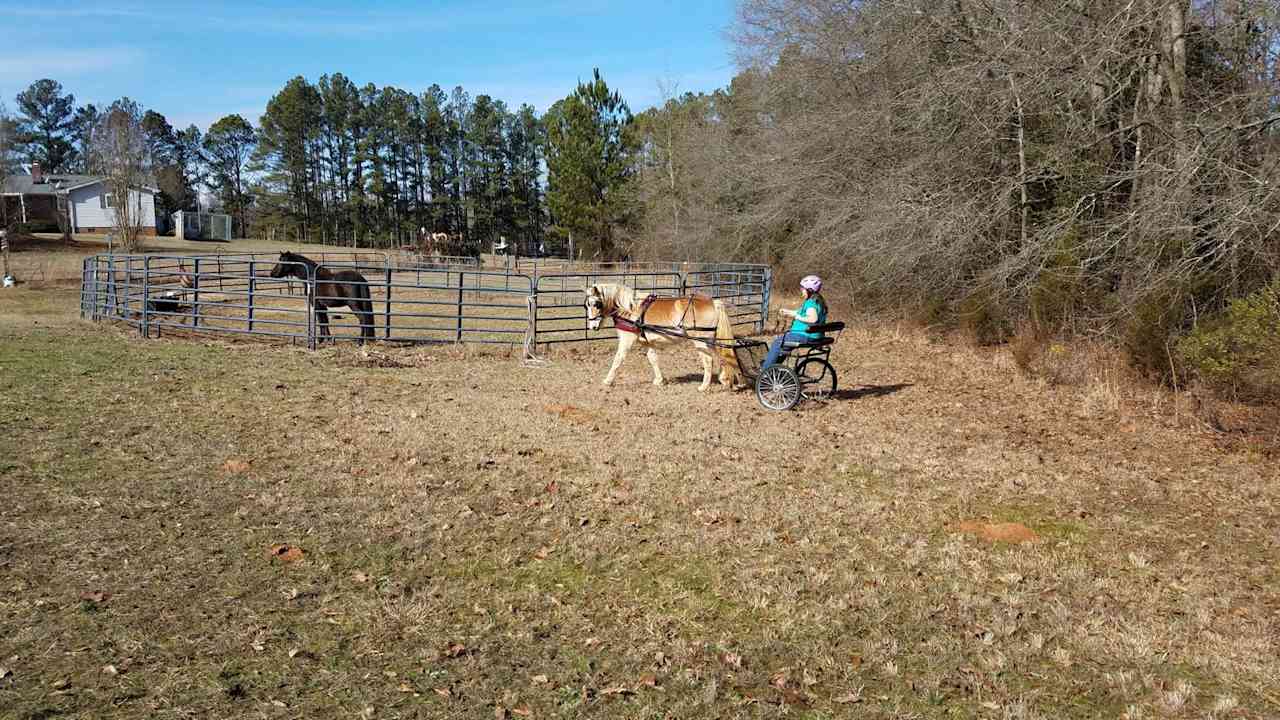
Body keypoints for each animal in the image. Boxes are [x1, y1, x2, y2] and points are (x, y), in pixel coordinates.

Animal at [586, 281, 747, 392]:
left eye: (596, 304)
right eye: (586, 305)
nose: (593, 327)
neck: (630, 308)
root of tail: (713, 302)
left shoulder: (627, 340)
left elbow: (618, 360)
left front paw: (607, 381)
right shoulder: (646, 342)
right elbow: (653, 359)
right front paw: (659, 380)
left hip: (701, 342)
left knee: (709, 360)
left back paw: (704, 386)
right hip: (710, 340)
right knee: (723, 357)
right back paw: (726, 379)